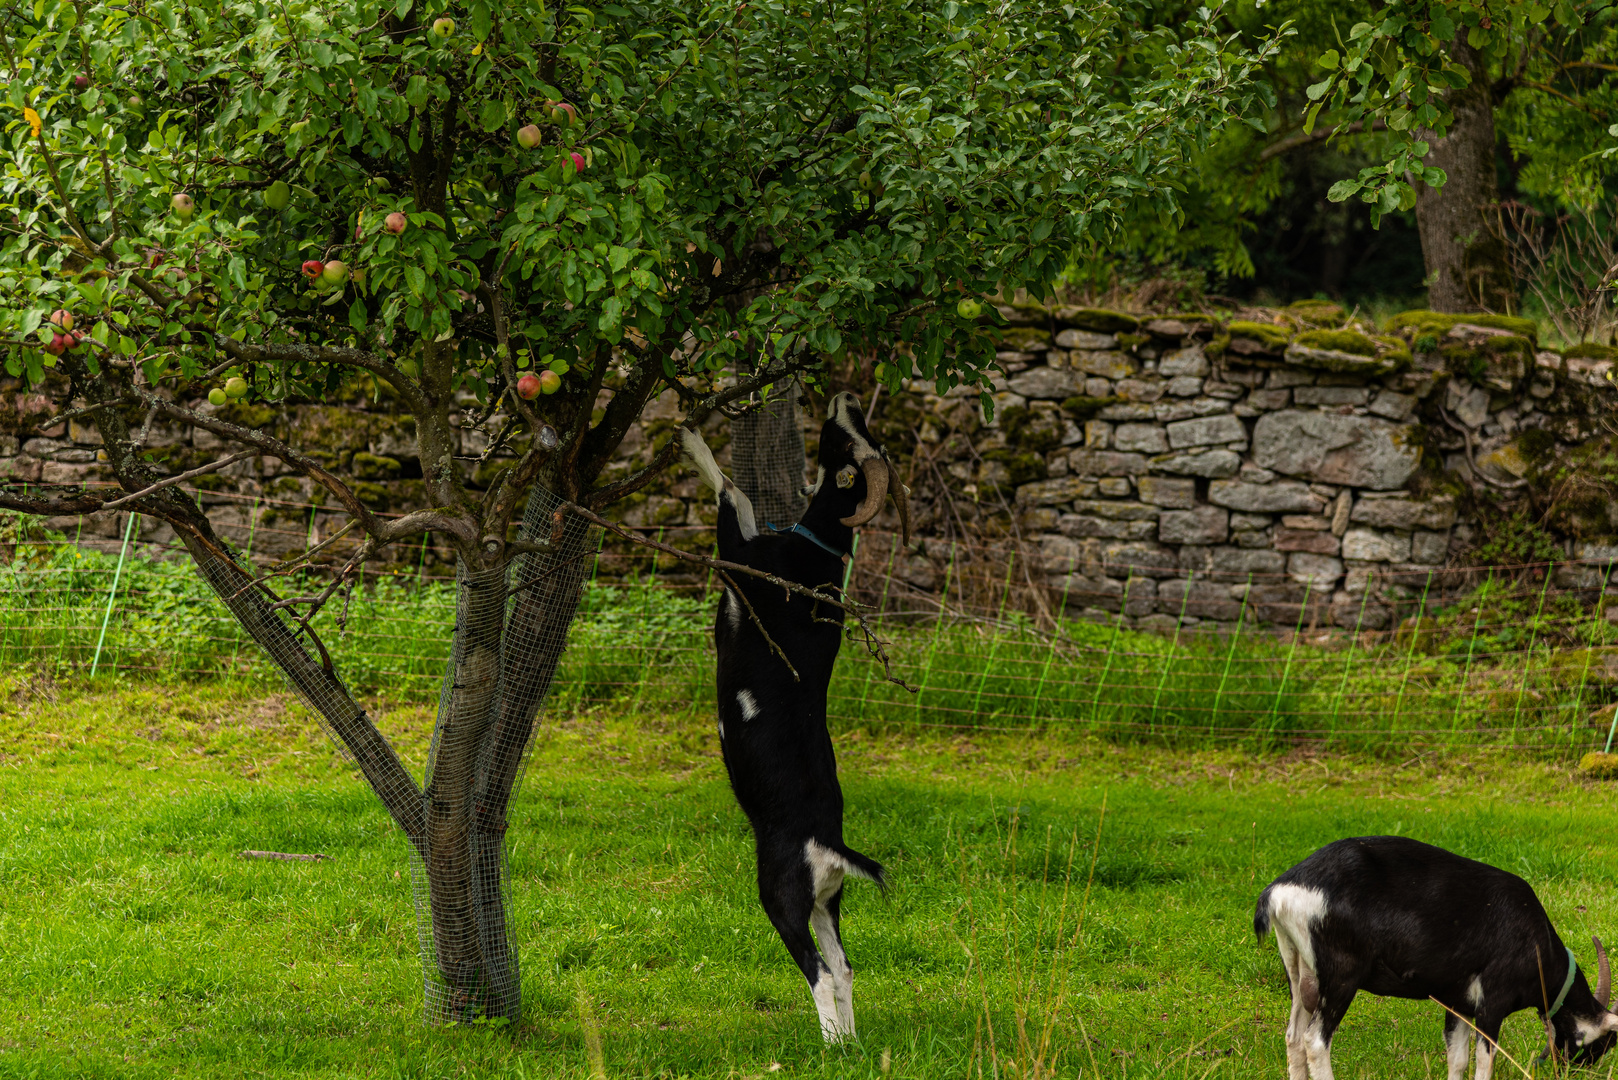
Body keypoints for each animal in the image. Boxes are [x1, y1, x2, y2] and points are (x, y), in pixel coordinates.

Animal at [673, 393, 912, 1042]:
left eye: (846, 442)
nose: (846, 398)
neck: (817, 553)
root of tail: (827, 846)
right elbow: (746, 499)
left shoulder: (741, 561)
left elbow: (732, 491)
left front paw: (688, 436)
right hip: (826, 902)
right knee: (845, 966)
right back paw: (848, 1041)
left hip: (780, 896)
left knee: (820, 971)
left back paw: (830, 1044)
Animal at [1255, 835, 1611, 1080]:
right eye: (1604, 1044)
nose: (1573, 1073)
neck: (1536, 943)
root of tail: (1280, 891)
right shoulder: (1492, 1004)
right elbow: (1484, 1063)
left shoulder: (1459, 1003)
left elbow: (1458, 1060)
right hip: (1341, 976)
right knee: (1315, 1040)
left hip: (1300, 972)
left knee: (1294, 1037)